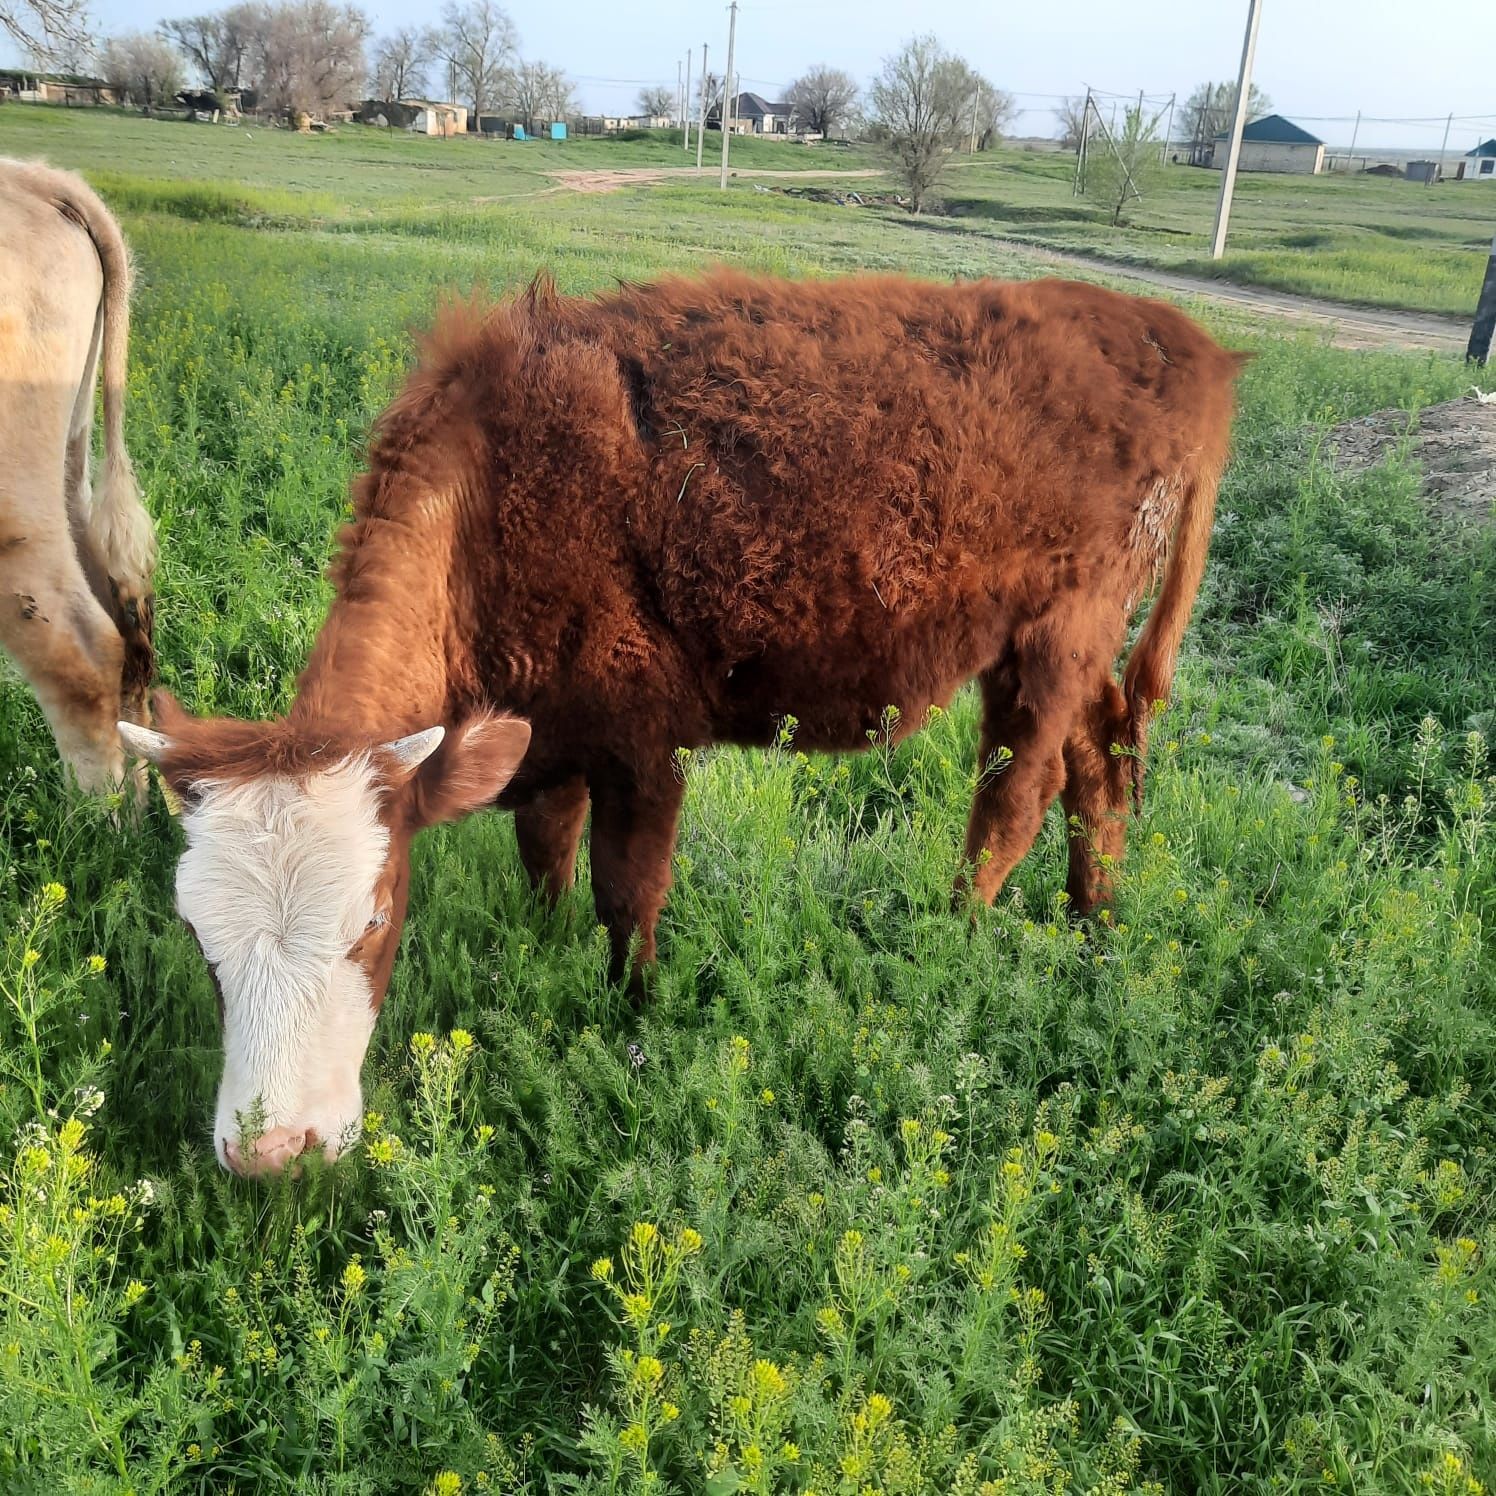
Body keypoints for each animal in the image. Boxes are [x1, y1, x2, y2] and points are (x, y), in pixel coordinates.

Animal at [116, 272, 1244, 1178]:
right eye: (197, 938)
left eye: (377, 918)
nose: (272, 1150)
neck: (494, 497)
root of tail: (1170, 336)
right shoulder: (548, 735)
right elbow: (546, 857)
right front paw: (541, 950)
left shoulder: (641, 746)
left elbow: (627, 893)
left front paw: (633, 1020)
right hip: (1076, 646)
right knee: (1102, 765)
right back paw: (1095, 925)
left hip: (1056, 632)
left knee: (1017, 794)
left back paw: (954, 940)